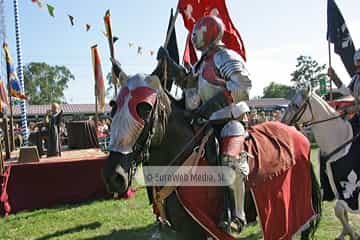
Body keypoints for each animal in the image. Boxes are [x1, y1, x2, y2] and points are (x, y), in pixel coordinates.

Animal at [282, 86, 360, 240]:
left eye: (296, 105)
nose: (282, 122)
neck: (339, 138)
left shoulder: (351, 186)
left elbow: (338, 209)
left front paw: (353, 234)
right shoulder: (335, 187)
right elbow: (342, 211)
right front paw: (346, 233)